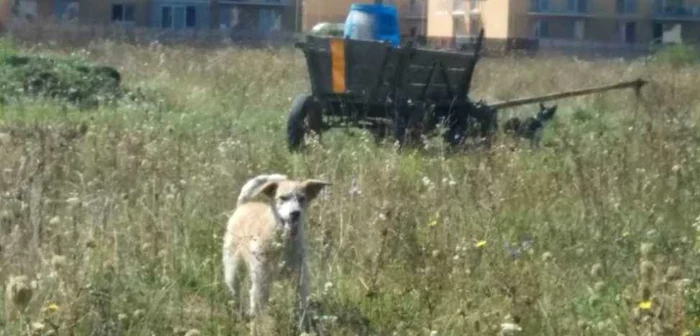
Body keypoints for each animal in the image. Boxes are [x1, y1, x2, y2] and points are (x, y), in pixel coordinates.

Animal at [224, 173, 334, 330]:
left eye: (302, 198)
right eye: (282, 198)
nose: (295, 213)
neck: (283, 242)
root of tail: (243, 205)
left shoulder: (300, 279)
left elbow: (301, 304)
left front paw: (303, 328)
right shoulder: (262, 281)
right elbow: (259, 308)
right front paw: (257, 329)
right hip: (232, 268)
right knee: (235, 291)